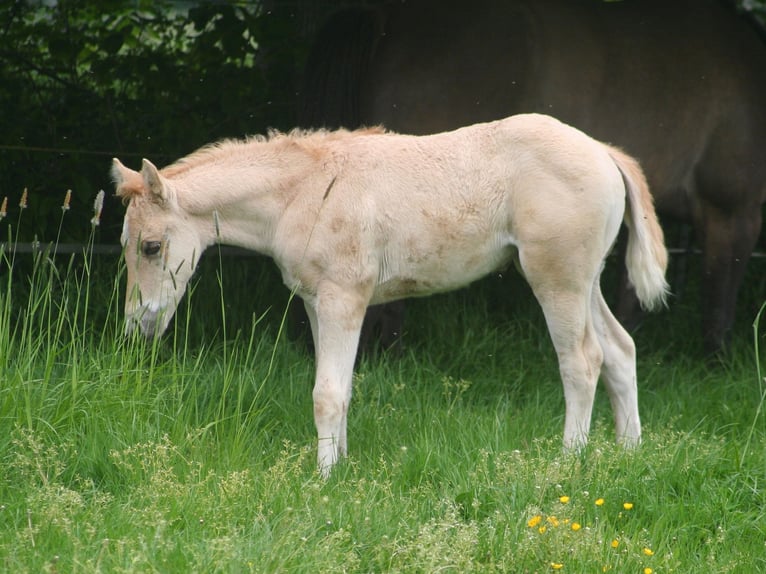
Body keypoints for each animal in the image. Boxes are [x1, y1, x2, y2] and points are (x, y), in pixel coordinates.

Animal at [113, 113, 668, 476]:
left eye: (151, 246)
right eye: (124, 244)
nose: (139, 325)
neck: (303, 191)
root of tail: (603, 151)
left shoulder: (344, 299)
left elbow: (326, 393)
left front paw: (322, 480)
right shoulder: (318, 303)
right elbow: (339, 388)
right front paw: (339, 466)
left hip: (557, 278)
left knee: (582, 360)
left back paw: (569, 462)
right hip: (586, 279)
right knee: (621, 350)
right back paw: (629, 454)